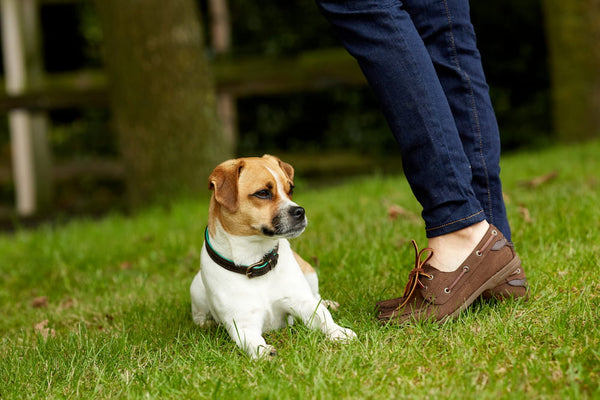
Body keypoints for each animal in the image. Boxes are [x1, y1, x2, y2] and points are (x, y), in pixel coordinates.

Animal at [190, 155, 354, 358]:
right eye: (262, 193)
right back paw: (207, 323)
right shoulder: (242, 324)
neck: (256, 260)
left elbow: (323, 317)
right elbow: (252, 341)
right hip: (196, 289)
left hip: (309, 272)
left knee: (316, 296)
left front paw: (339, 332)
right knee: (199, 316)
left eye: (290, 189)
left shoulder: (302, 303)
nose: (300, 211)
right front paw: (263, 352)